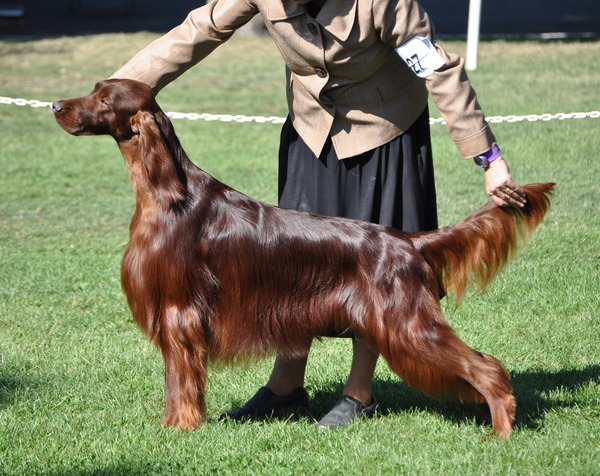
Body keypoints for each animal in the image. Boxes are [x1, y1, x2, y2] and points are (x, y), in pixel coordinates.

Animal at [54, 79, 556, 438]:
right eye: (94, 88)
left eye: (104, 99)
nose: (56, 105)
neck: (166, 192)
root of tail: (406, 240)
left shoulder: (180, 312)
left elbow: (181, 381)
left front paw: (179, 427)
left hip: (408, 323)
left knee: (487, 367)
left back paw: (501, 431)